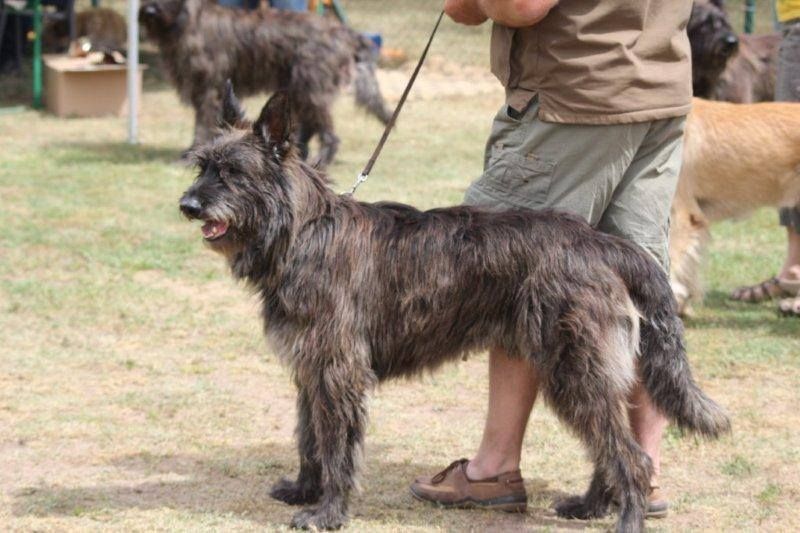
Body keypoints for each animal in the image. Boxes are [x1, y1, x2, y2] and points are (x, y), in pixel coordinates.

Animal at [139, 0, 392, 164]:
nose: (150, 10)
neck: (186, 20)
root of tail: (345, 32)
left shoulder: (208, 88)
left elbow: (202, 124)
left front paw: (191, 154)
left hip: (311, 87)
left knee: (329, 134)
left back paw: (320, 158)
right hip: (300, 88)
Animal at [180, 85, 732, 528]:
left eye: (232, 172)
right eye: (202, 165)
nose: (187, 206)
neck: (305, 233)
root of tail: (599, 242)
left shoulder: (339, 372)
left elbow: (337, 448)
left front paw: (327, 512)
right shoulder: (312, 371)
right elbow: (308, 437)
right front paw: (303, 490)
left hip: (575, 368)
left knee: (630, 456)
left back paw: (625, 518)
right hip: (584, 370)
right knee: (613, 444)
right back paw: (592, 504)